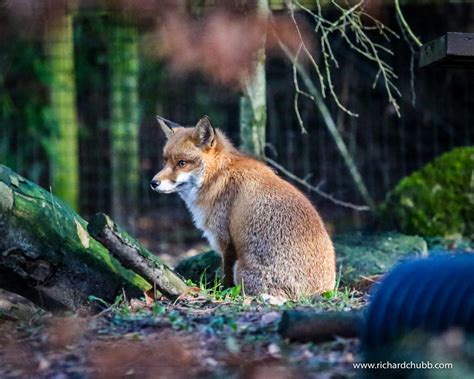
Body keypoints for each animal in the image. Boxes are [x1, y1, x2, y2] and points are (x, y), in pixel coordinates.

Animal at [152, 116, 336, 300]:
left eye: (182, 163)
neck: (217, 175)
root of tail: (319, 292)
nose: (153, 183)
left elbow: (226, 277)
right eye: (165, 161)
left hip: (240, 269)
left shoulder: (226, 240)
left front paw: (221, 294)